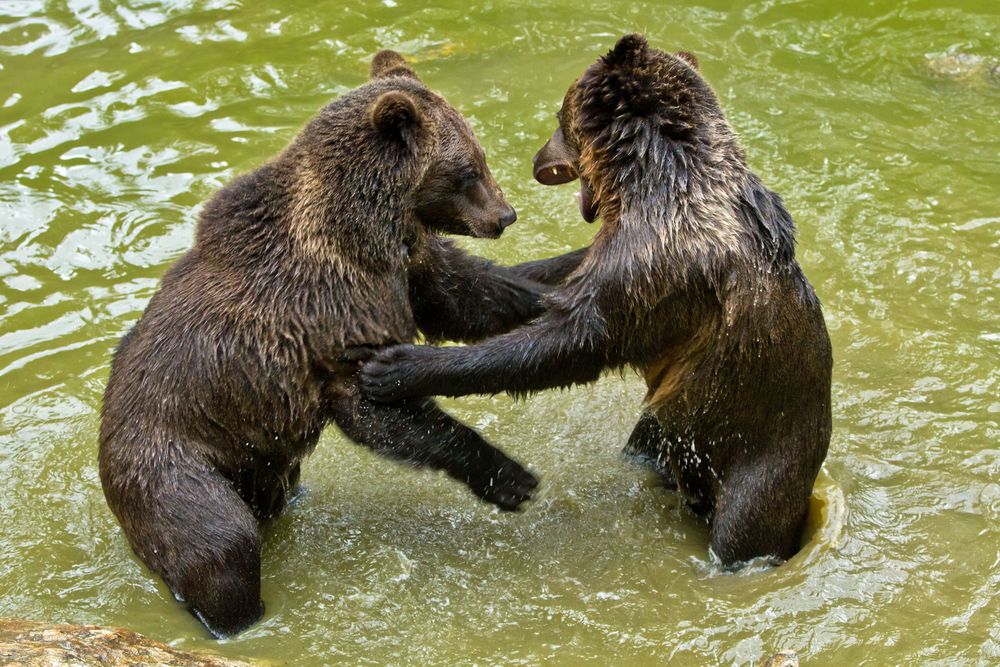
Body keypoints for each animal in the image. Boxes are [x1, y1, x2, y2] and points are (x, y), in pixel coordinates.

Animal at [97, 49, 584, 640]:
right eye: (469, 168)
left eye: (481, 156)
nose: (504, 216)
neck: (367, 229)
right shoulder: (331, 307)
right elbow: (372, 405)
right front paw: (509, 477)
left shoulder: (409, 265)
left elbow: (469, 295)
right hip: (173, 465)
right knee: (218, 543)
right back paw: (243, 618)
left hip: (255, 461)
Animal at [360, 35, 836, 568]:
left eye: (559, 118)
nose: (537, 161)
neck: (657, 180)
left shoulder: (659, 264)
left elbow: (571, 341)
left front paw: (397, 366)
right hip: (670, 430)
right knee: (646, 449)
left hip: (759, 460)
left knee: (744, 527)